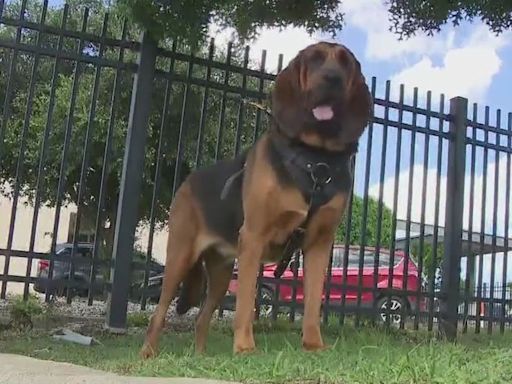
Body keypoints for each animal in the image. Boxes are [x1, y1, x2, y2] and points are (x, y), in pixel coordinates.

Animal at [141, 40, 372, 358]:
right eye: (314, 60)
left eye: (345, 63)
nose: (332, 78)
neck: (315, 159)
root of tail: (187, 181)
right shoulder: (253, 238)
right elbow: (245, 305)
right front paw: (244, 347)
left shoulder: (319, 245)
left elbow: (313, 304)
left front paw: (313, 345)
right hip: (180, 257)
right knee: (159, 313)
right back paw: (148, 354)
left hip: (222, 272)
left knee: (202, 318)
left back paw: (200, 357)